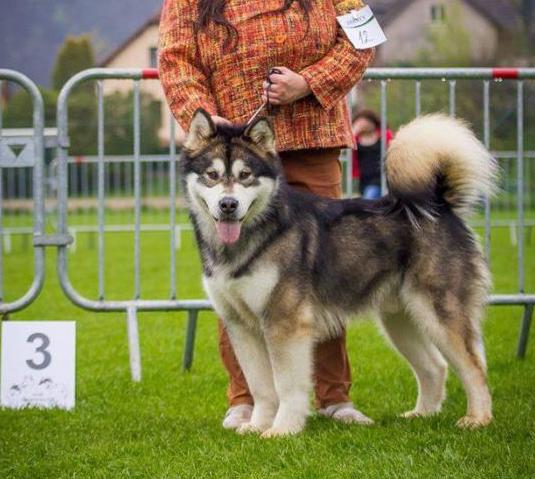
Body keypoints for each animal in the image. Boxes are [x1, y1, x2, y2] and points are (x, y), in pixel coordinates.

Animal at [181, 109, 498, 438]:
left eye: (245, 175)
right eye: (212, 175)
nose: (228, 205)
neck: (252, 237)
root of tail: (436, 204)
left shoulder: (286, 323)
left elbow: (287, 385)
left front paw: (283, 429)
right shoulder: (240, 325)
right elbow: (261, 387)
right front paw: (257, 426)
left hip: (439, 315)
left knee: (475, 368)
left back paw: (477, 419)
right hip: (400, 320)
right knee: (435, 366)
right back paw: (421, 415)